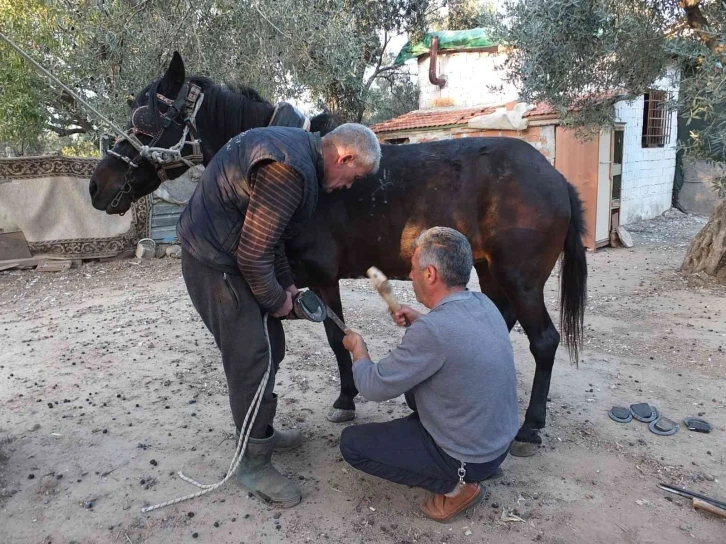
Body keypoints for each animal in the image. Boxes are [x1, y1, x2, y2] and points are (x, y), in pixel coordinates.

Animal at [92, 53, 592, 456]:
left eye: (144, 121)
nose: (97, 187)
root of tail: (555, 178)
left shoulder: (321, 277)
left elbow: (337, 339)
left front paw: (345, 400)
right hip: (490, 272)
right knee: (499, 320)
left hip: (521, 279)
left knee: (544, 341)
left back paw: (530, 427)